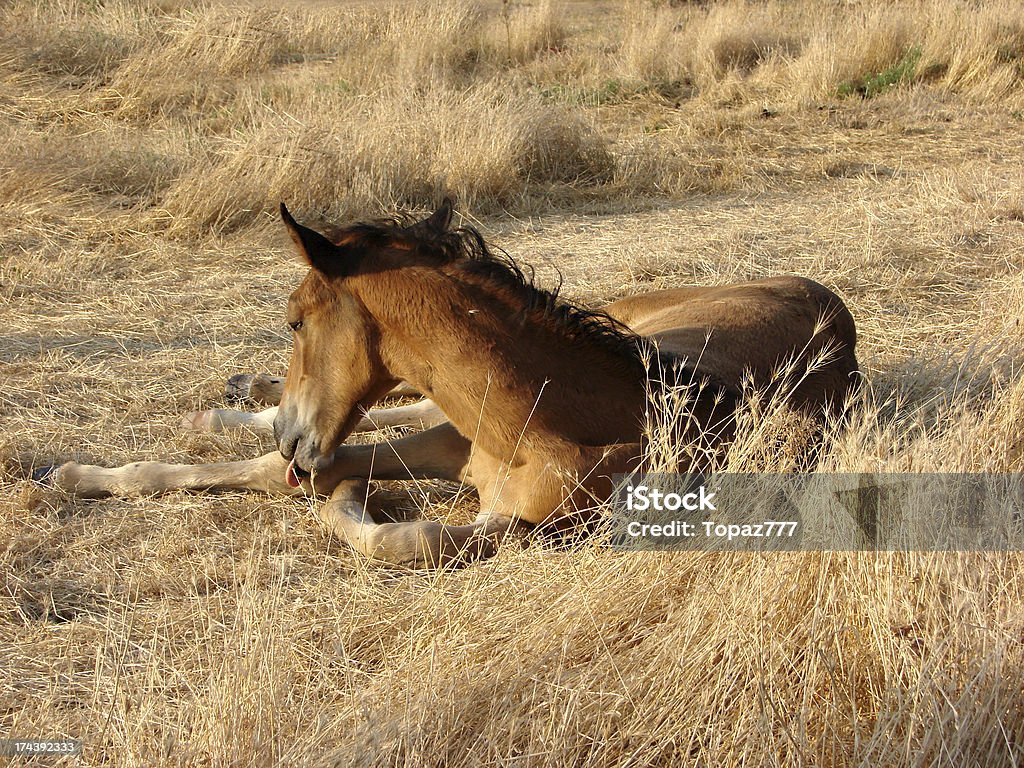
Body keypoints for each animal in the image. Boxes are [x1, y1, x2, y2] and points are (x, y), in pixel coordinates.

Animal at [36, 201, 856, 569]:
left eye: (295, 319)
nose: (296, 437)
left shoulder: (537, 521)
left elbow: (406, 534)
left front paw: (343, 501)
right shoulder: (449, 439)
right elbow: (282, 469)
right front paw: (74, 473)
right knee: (402, 402)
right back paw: (236, 401)